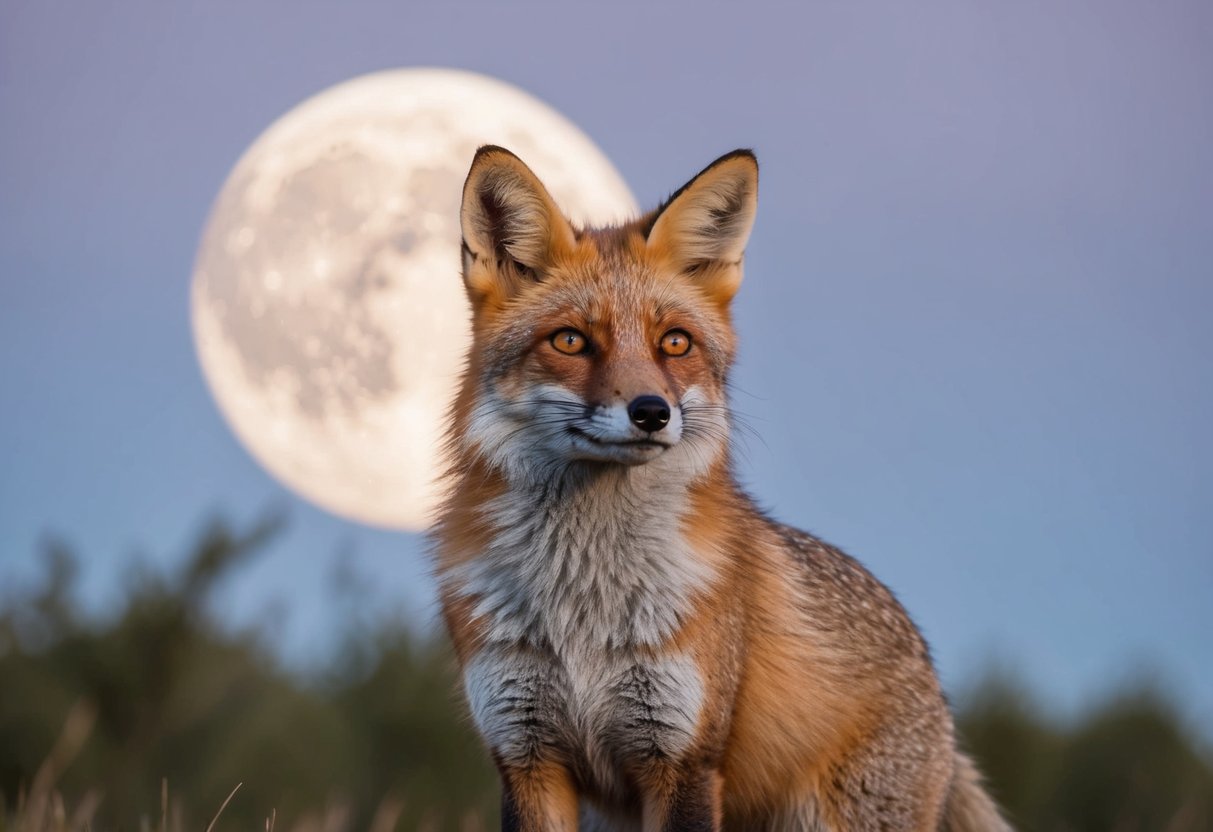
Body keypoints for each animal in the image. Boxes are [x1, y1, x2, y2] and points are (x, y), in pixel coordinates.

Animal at [432, 145, 1010, 831]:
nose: (651, 412)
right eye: (571, 340)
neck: (583, 611)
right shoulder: (526, 756)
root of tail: (934, 681)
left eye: (674, 343)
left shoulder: (683, 759)